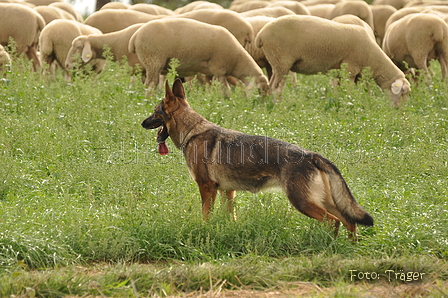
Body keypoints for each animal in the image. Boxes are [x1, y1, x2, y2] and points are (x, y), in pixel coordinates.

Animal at [129, 17, 270, 95]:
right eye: (259, 90)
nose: (262, 106)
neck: (237, 61)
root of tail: (135, 37)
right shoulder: (219, 69)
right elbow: (226, 91)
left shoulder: (209, 73)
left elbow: (210, 89)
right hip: (153, 60)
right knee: (150, 85)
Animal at [142, 78, 372, 240]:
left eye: (154, 112)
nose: (142, 123)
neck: (192, 131)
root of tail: (312, 155)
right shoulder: (228, 191)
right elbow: (230, 216)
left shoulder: (207, 188)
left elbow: (206, 215)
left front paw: (203, 230)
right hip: (323, 201)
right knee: (349, 222)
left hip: (302, 202)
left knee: (333, 222)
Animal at [258, 15, 412, 106]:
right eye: (402, 93)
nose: (400, 110)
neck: (373, 59)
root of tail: (261, 35)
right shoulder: (350, 68)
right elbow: (348, 90)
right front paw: (349, 103)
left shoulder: (352, 73)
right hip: (282, 61)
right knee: (276, 87)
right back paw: (280, 106)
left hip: (276, 62)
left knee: (271, 85)